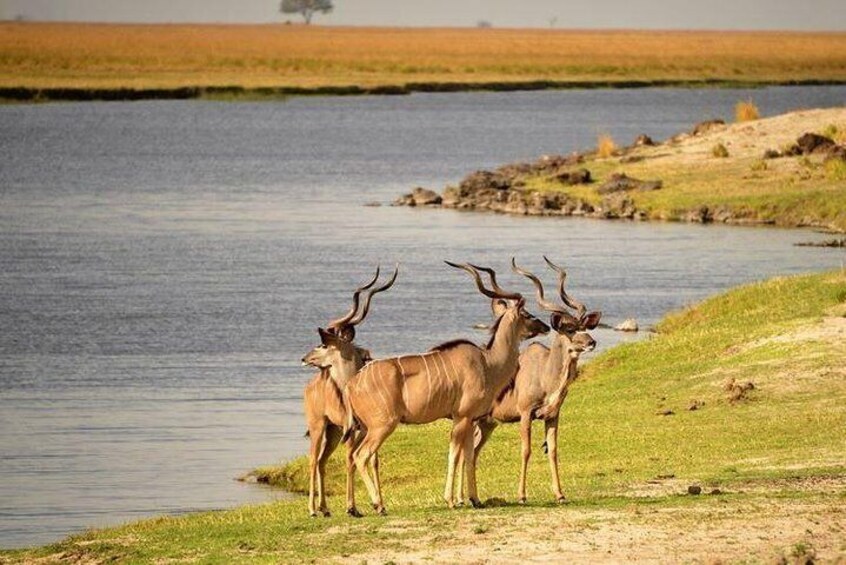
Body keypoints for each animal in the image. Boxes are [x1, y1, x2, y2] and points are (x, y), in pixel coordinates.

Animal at [304, 266, 400, 516]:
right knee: (313, 459)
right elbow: (351, 459)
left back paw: (324, 509)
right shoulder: (356, 432)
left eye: (324, 344)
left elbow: (371, 460)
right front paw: (353, 507)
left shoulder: (365, 429)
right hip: (318, 426)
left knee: (321, 461)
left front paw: (377, 504)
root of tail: (310, 386)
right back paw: (312, 510)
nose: (305, 358)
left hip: (333, 431)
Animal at [344, 262, 548, 512]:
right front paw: (451, 500)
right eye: (527, 314)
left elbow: (469, 456)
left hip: (364, 427)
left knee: (352, 455)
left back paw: (356, 509)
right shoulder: (461, 417)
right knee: (361, 455)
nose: (546, 326)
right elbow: (454, 454)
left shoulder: (470, 419)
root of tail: (351, 384)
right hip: (382, 426)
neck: (488, 363)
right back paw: (378, 505)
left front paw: (475, 499)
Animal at [464, 256, 604, 502]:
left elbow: (553, 450)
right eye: (569, 328)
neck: (545, 374)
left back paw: (472, 498)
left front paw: (560, 494)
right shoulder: (526, 413)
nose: (591, 342)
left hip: (487, 423)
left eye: (585, 326)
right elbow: (526, 450)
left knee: (473, 452)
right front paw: (521, 495)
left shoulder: (553, 415)